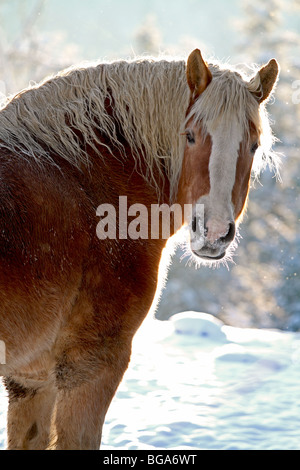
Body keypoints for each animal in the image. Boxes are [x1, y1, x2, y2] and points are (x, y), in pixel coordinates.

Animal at [0, 46, 278, 448]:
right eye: (190, 136)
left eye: (254, 145)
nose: (213, 230)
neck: (86, 183)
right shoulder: (92, 366)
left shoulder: (31, 381)